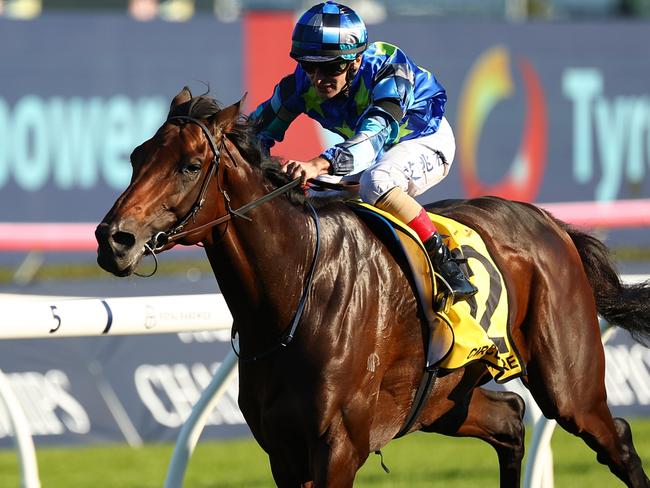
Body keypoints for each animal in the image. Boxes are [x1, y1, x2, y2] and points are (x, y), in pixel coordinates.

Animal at [96, 88, 648, 488]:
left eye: (190, 165)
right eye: (137, 156)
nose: (112, 239)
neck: (295, 293)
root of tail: (552, 223)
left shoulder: (338, 446)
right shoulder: (282, 450)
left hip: (568, 386)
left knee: (615, 438)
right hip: (442, 400)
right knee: (511, 420)